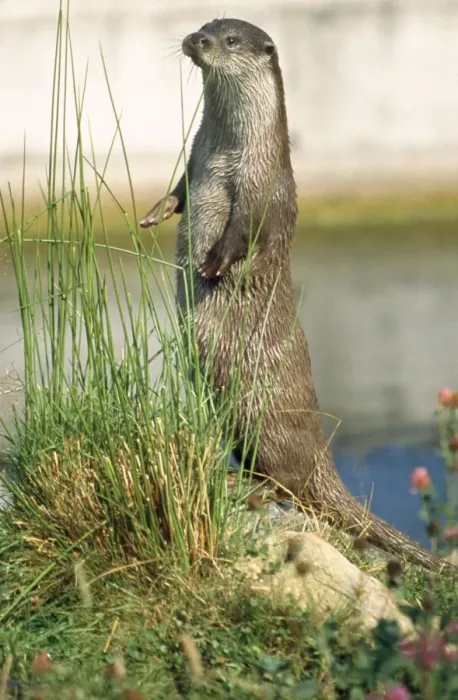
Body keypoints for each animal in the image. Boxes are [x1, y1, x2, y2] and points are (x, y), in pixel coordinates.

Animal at [140, 18, 452, 573]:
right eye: (205, 25)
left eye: (230, 40)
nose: (195, 41)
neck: (225, 151)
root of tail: (321, 457)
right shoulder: (194, 157)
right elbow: (178, 189)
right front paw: (157, 211)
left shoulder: (262, 186)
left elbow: (245, 232)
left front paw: (213, 265)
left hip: (268, 421)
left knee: (291, 485)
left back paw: (254, 487)